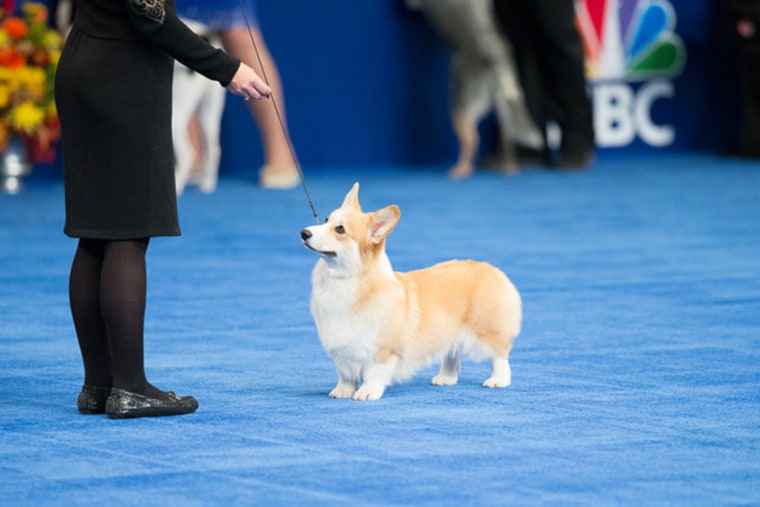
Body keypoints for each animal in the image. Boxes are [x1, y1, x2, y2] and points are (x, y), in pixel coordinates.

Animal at [300, 183, 520, 400]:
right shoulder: (342, 351)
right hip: (449, 333)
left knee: (500, 355)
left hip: (487, 332)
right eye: (326, 219)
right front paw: (342, 391)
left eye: (340, 229)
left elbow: (373, 373)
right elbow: (345, 375)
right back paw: (445, 378)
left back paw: (498, 380)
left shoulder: (382, 351)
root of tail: (491, 269)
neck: (344, 280)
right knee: (452, 355)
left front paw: (367, 392)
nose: (304, 232)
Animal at [410, 0, 540, 180]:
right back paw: (509, 166)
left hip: (459, 108)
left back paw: (461, 170)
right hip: (502, 104)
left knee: (471, 139)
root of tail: (496, 58)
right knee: (507, 135)